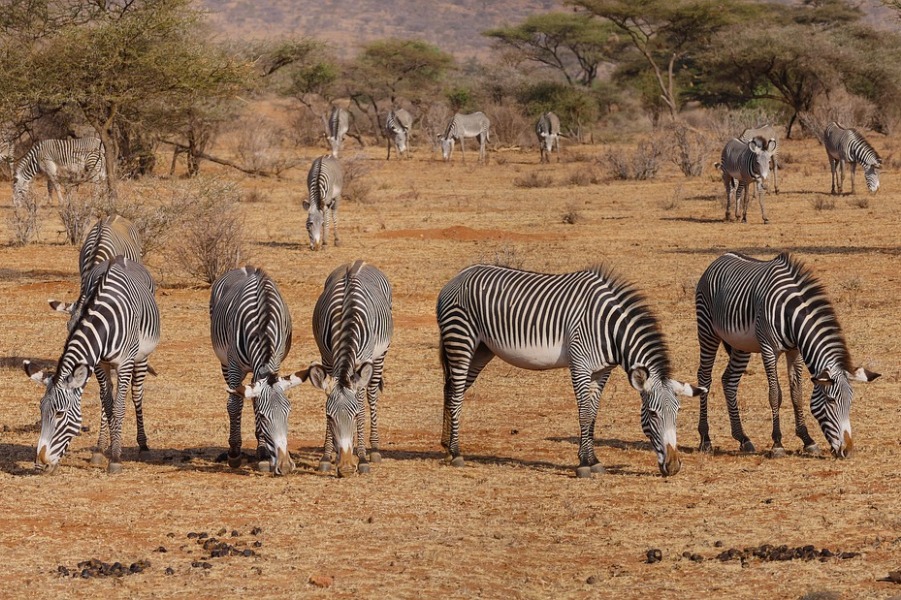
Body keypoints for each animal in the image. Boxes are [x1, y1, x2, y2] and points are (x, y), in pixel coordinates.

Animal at [23, 256, 161, 474]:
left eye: (60, 413)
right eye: (40, 410)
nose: (40, 464)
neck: (105, 324)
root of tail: (121, 258)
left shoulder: (124, 362)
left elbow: (119, 408)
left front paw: (116, 458)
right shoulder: (98, 364)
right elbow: (108, 404)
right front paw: (106, 449)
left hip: (141, 356)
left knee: (137, 394)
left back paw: (143, 446)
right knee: (107, 396)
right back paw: (101, 447)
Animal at [211, 264, 310, 476]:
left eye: (288, 413)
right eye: (265, 417)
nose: (285, 466)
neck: (262, 325)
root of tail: (244, 267)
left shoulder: (276, 360)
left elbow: (256, 400)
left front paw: (263, 451)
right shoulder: (234, 365)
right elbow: (235, 404)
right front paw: (234, 453)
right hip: (224, 362)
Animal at [308, 260, 392, 476]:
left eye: (354, 416)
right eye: (329, 417)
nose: (346, 468)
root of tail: (359, 261)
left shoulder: (363, 360)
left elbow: (361, 406)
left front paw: (361, 457)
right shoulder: (327, 359)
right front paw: (327, 456)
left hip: (380, 355)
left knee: (371, 394)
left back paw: (374, 449)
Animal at [436, 262, 704, 478]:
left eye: (678, 414)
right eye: (652, 413)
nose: (673, 466)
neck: (609, 329)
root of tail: (458, 276)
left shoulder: (601, 371)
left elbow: (593, 414)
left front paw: (593, 460)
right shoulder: (580, 366)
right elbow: (584, 414)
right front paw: (584, 464)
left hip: (482, 349)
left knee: (450, 388)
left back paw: (446, 446)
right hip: (461, 339)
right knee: (456, 393)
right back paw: (456, 453)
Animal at [696, 251, 880, 458]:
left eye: (850, 402)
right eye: (831, 401)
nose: (847, 450)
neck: (791, 315)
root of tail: (720, 257)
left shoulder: (795, 350)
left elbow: (796, 394)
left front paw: (808, 440)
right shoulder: (769, 349)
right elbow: (775, 394)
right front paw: (777, 443)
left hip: (740, 344)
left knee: (729, 381)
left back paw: (743, 438)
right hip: (707, 330)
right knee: (705, 377)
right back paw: (705, 439)